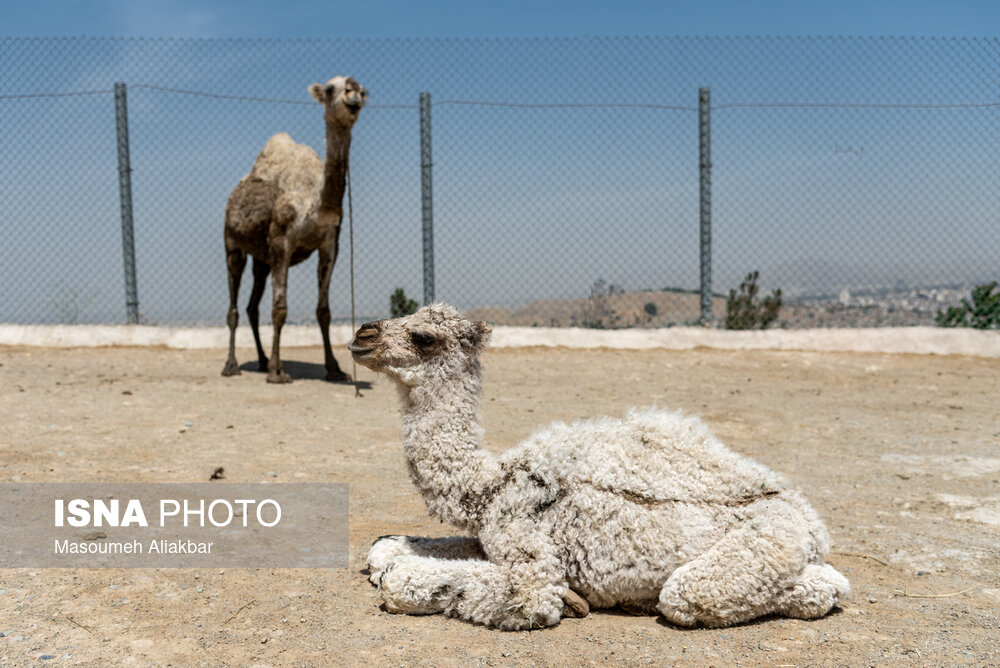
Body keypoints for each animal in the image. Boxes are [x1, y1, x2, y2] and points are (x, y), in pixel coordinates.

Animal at [222, 76, 367, 383]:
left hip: (262, 260)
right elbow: (280, 309)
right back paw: (232, 366)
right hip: (233, 242)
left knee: (252, 306)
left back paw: (262, 360)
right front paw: (278, 372)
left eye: (363, 91)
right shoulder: (282, 241)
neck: (314, 205)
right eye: (330, 89)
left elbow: (323, 311)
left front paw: (334, 369)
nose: (353, 92)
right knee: (234, 307)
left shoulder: (330, 244)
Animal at [349, 304, 849, 630]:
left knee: (787, 589)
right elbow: (383, 548)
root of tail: (811, 521)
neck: (489, 485)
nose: (362, 335)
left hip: (766, 544)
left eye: (424, 337)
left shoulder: (527, 551)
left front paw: (569, 600)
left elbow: (516, 593)